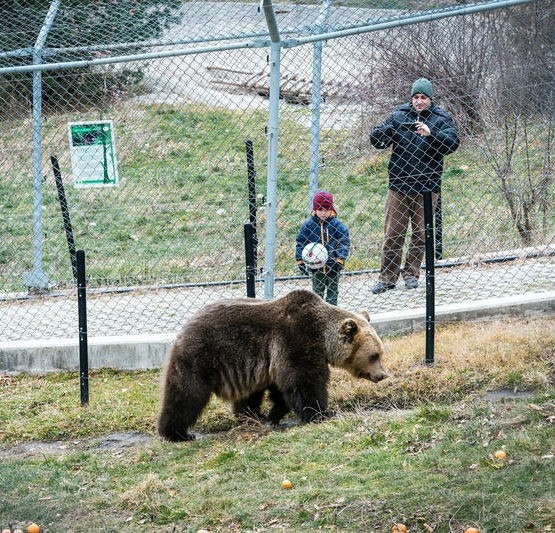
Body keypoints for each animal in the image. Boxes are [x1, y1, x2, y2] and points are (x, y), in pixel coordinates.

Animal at [159, 286, 388, 440]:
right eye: (374, 355)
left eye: (380, 353)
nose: (382, 375)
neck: (321, 337)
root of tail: (185, 326)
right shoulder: (295, 341)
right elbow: (304, 383)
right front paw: (321, 413)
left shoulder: (274, 361)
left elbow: (283, 390)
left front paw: (273, 415)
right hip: (202, 356)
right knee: (187, 394)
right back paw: (176, 433)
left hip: (242, 367)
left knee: (249, 395)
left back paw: (252, 416)